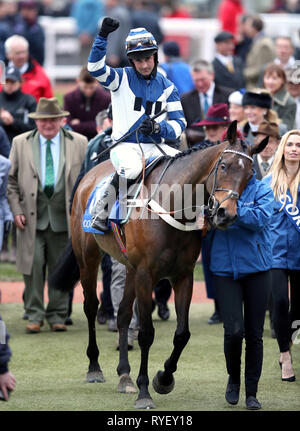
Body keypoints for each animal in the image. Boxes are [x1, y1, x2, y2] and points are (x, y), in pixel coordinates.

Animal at [50, 120, 268, 408]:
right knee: (90, 306)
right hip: (88, 256)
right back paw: (95, 367)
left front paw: (163, 378)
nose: (225, 213)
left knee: (122, 314)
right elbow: (146, 333)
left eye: (250, 174)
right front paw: (144, 391)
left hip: (129, 268)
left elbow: (182, 333)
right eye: (224, 166)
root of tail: (89, 174)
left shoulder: (182, 275)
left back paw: (124, 375)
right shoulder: (146, 274)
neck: (173, 202)